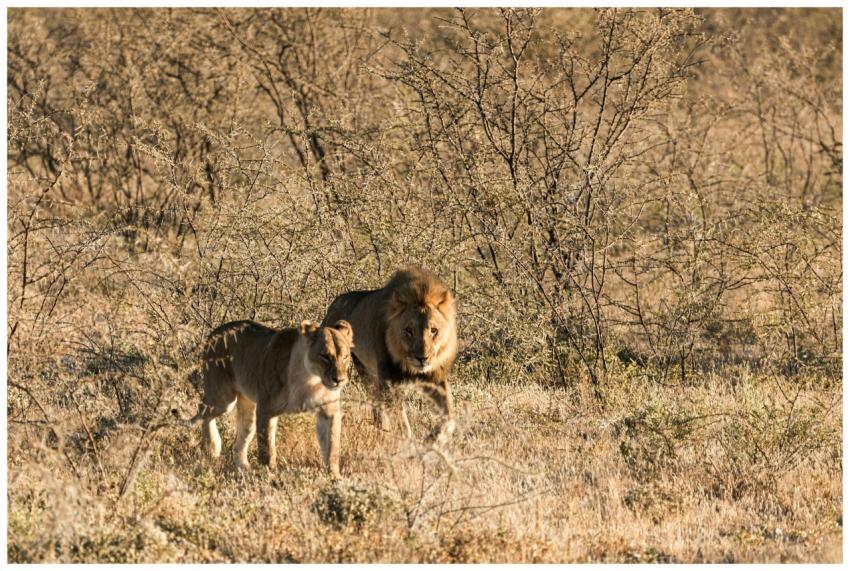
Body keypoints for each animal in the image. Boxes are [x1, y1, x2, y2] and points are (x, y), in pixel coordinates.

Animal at [187, 318, 354, 478]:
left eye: (345, 357)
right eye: (325, 356)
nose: (339, 380)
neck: (311, 379)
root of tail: (213, 332)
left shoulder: (329, 411)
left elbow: (332, 446)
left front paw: (334, 477)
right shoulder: (266, 409)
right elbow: (267, 448)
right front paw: (269, 475)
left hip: (248, 408)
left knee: (238, 443)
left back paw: (244, 469)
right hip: (223, 399)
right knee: (204, 410)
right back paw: (211, 447)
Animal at [321, 266, 458, 443]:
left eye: (433, 330)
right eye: (408, 330)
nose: (422, 358)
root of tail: (334, 303)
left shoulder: (435, 377)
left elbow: (449, 414)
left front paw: (433, 438)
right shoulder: (389, 381)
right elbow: (401, 422)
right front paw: (407, 443)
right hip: (364, 372)